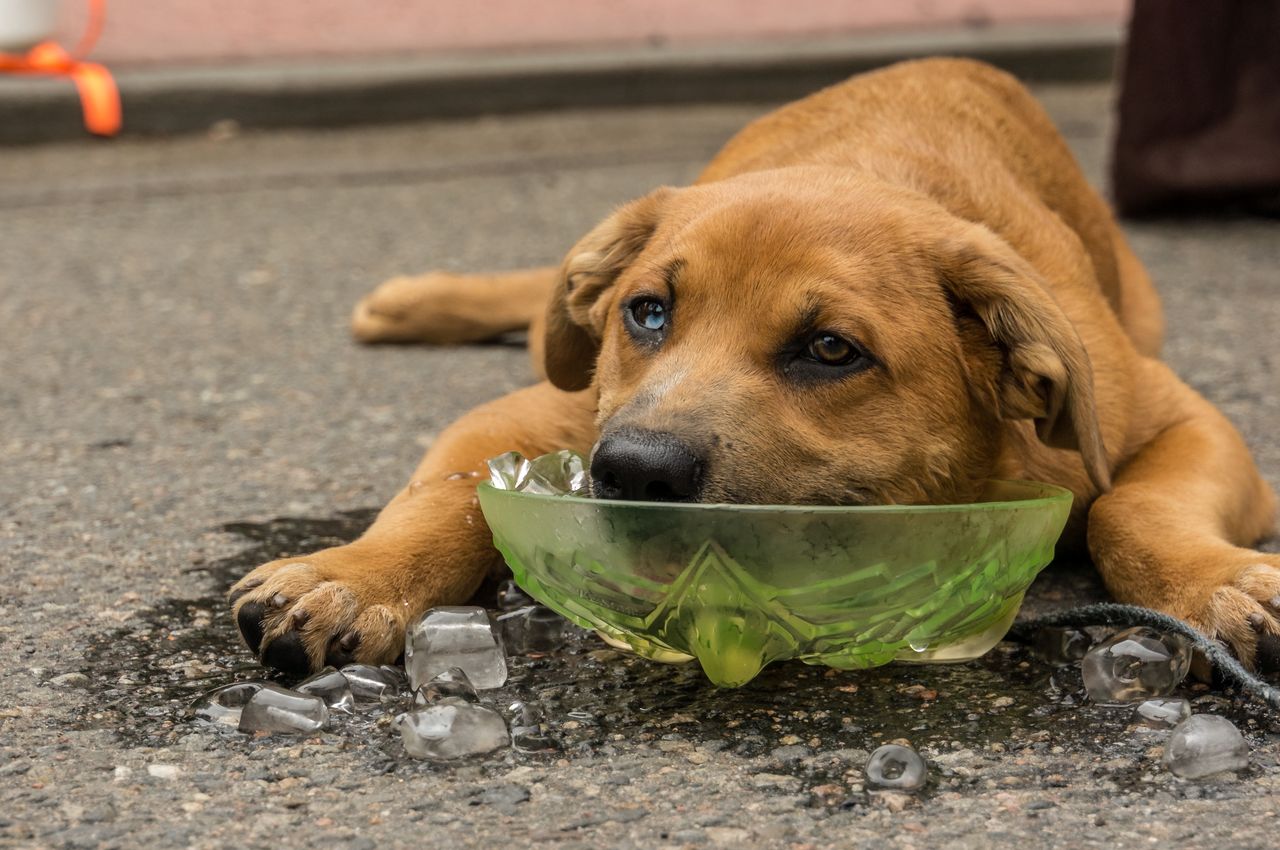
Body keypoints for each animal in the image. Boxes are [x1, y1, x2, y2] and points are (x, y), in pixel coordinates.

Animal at [230, 58, 1280, 675]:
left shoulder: (1180, 418)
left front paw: (1218, 586)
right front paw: (352, 576)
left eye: (830, 350)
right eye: (648, 313)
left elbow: (1131, 509)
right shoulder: (544, 409)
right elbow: (441, 497)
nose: (632, 472)